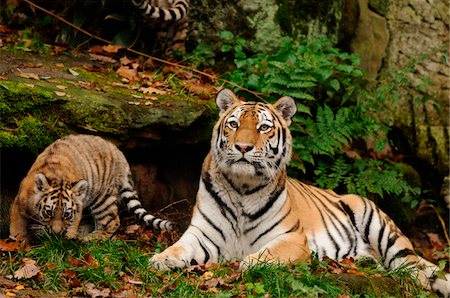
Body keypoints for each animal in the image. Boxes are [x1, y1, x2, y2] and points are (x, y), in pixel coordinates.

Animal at [10, 134, 173, 241]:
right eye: (48, 212)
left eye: (66, 214)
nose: (56, 233)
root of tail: (119, 153)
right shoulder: (19, 202)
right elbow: (17, 225)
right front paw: (18, 242)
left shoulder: (78, 207)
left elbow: (73, 224)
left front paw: (68, 237)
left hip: (102, 199)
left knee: (112, 222)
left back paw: (87, 240)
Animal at [152, 89, 450, 296]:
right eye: (234, 124)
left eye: (263, 127)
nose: (243, 147)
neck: (242, 188)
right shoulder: (202, 234)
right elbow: (179, 247)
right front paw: (159, 260)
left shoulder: (292, 239)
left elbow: (264, 255)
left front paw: (247, 264)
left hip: (378, 223)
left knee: (411, 266)